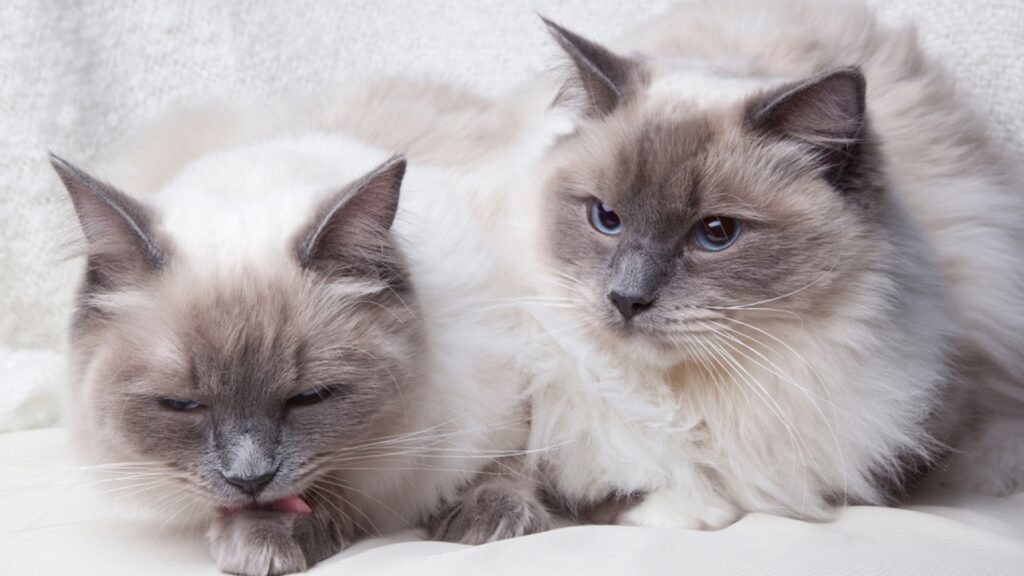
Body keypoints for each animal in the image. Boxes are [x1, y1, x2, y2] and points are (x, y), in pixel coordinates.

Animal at [54, 119, 552, 569]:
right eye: (182, 406)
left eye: (309, 398)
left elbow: (508, 462)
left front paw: (491, 519)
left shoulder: (506, 380)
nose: (250, 479)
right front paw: (266, 538)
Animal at [477, 0, 1024, 528]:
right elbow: (531, 473)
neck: (683, 397)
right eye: (606, 218)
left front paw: (691, 508)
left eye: (716, 233)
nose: (626, 299)